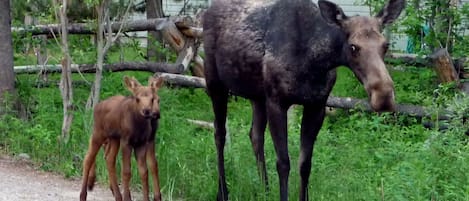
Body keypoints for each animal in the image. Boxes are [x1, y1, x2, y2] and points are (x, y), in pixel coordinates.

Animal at [203, 0, 404, 200]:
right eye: (353, 47)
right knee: (219, 133)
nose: (384, 97)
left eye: (385, 45)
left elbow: (305, 164)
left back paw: (265, 189)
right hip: (215, 84)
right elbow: (283, 163)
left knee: (255, 135)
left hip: (257, 96)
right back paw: (222, 191)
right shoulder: (277, 102)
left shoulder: (316, 106)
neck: (315, 61)